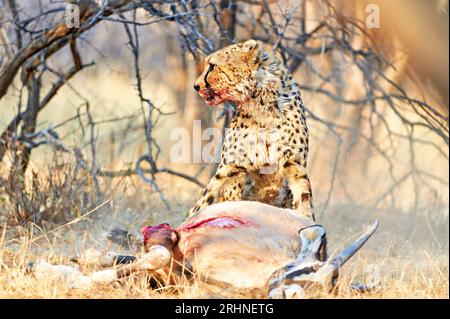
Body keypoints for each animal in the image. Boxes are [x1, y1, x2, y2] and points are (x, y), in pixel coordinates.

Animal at [29, 201, 380, 298]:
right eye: (306, 269)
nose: (292, 295)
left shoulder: (168, 280)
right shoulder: (169, 235)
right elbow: (152, 254)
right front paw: (69, 279)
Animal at [188, 39, 314, 222]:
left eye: (212, 66)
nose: (196, 86)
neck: (261, 103)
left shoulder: (294, 165)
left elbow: (304, 199)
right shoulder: (230, 166)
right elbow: (204, 200)